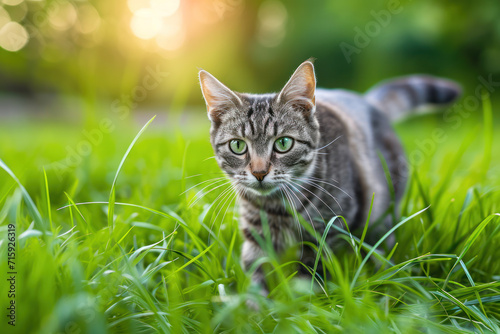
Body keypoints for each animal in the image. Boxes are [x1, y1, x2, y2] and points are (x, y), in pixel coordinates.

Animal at [198, 60, 460, 292]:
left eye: (283, 143)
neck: (278, 207)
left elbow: (308, 276)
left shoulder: (325, 231)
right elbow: (257, 278)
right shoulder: (256, 237)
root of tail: (367, 101)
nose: (259, 173)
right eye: (238, 146)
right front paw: (256, 309)